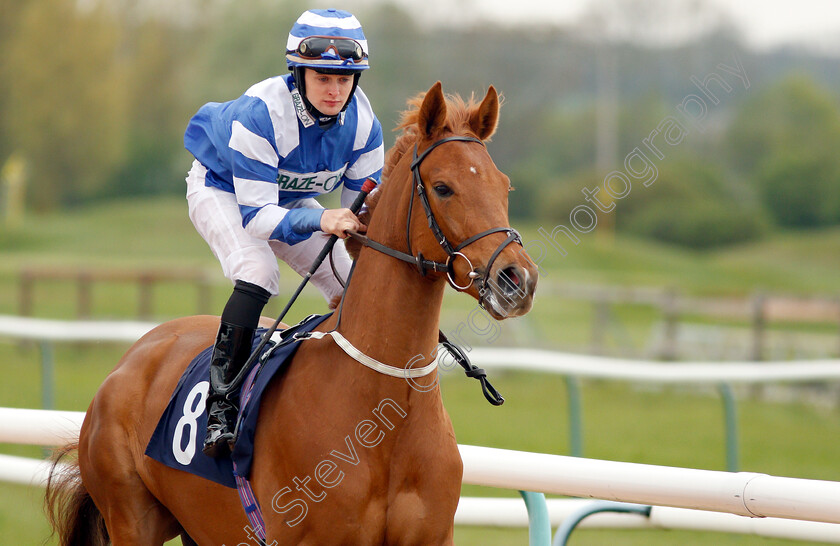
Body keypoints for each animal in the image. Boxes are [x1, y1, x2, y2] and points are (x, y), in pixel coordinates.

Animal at [47, 82, 540, 544]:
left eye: (504, 186)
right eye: (443, 188)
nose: (518, 280)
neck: (384, 414)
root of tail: (134, 355)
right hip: (132, 518)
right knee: (253, 273)